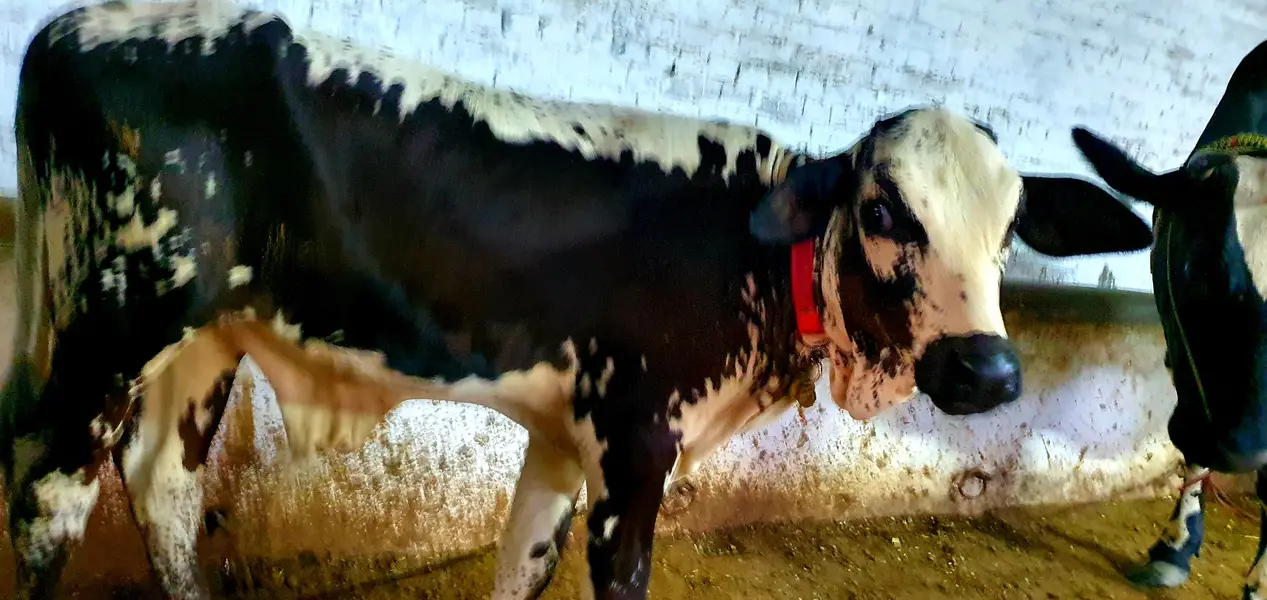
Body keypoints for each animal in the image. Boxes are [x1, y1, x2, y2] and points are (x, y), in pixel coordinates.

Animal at [0, 2, 1155, 599]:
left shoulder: (564, 441)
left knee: (163, 482)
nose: (985, 369)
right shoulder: (637, 444)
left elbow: (521, 569)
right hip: (114, 319)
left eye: (1011, 227)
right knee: (50, 495)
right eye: (881, 207)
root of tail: (74, 25)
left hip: (205, 333)